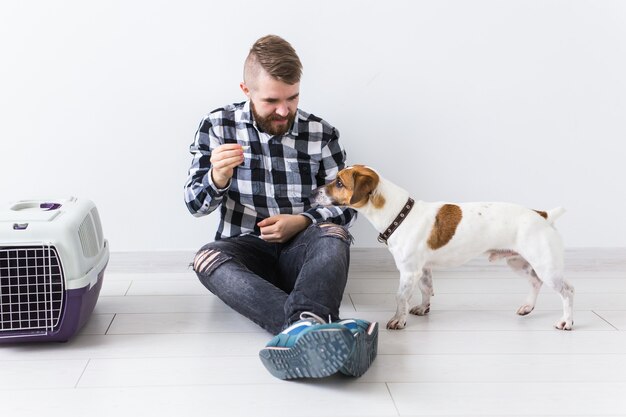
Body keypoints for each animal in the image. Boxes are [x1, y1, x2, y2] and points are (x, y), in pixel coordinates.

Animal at [314, 164, 572, 330]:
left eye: (339, 182)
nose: (314, 191)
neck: (400, 215)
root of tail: (542, 214)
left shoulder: (409, 271)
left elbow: (401, 297)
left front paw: (399, 320)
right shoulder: (423, 270)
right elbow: (426, 289)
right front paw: (422, 308)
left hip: (545, 266)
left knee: (567, 291)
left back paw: (566, 321)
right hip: (518, 262)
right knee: (535, 282)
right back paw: (528, 307)